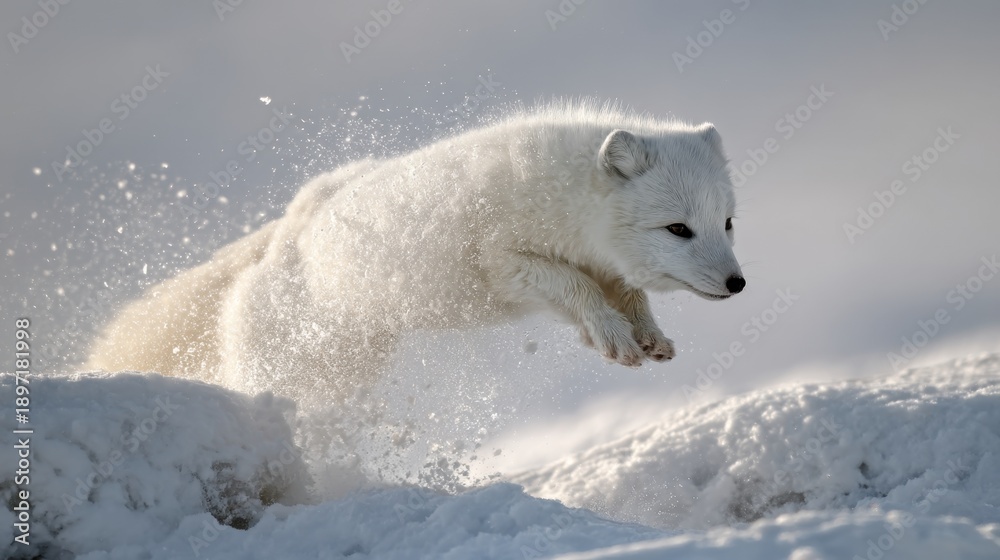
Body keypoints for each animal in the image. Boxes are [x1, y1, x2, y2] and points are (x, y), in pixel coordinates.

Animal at [87, 102, 745, 399]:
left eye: (727, 223)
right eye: (679, 229)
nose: (738, 285)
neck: (563, 198)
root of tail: (284, 235)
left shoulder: (597, 265)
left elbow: (625, 293)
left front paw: (645, 336)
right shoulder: (503, 261)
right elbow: (575, 286)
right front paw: (613, 338)